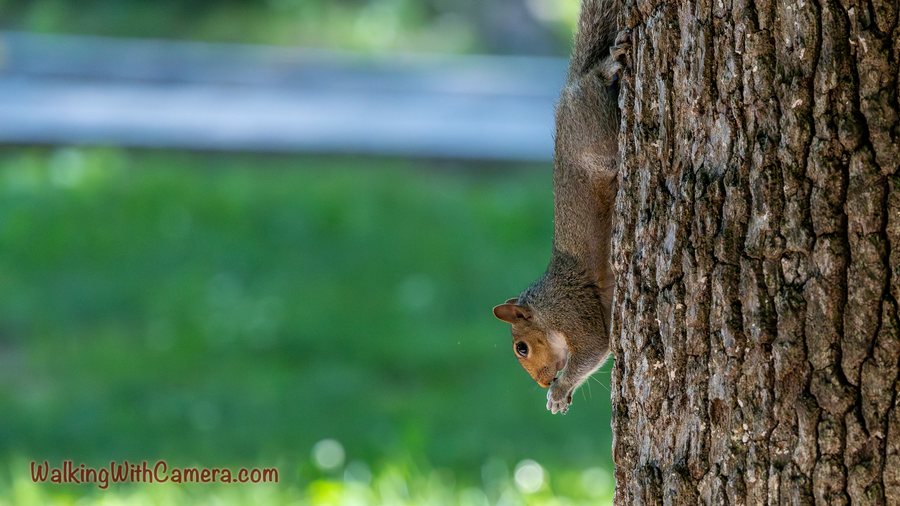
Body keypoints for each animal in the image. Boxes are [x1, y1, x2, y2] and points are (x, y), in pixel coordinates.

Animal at [492, 0, 628, 415]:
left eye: (521, 348)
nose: (542, 382)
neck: (545, 305)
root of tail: (568, 88)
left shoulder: (572, 311)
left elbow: (594, 348)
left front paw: (559, 393)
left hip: (591, 134)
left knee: (594, 81)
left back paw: (608, 65)